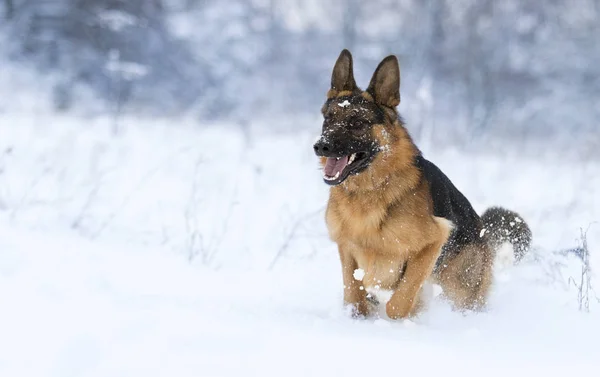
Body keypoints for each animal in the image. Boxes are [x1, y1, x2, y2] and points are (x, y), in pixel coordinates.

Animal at [312, 47, 532, 318]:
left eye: (356, 123)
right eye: (328, 119)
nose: (321, 146)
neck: (372, 189)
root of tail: (482, 232)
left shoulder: (433, 241)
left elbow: (400, 301)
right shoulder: (347, 249)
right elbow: (354, 295)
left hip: (459, 290)